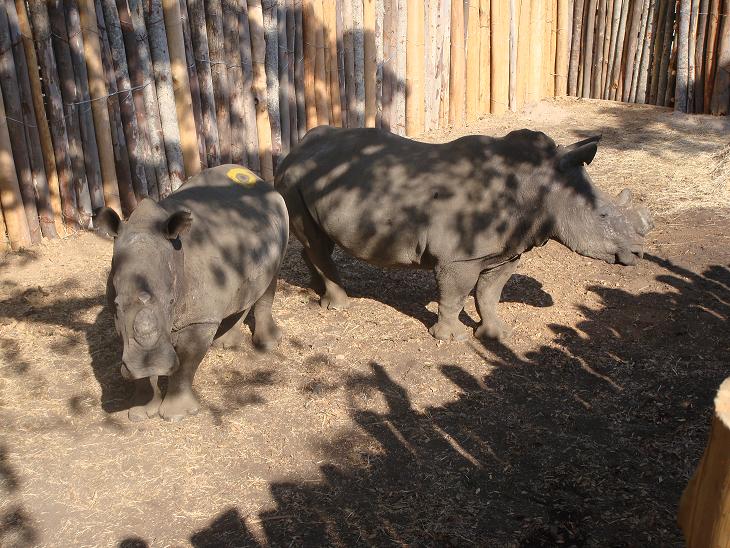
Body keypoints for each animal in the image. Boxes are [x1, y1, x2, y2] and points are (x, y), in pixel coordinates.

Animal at [96, 165, 288, 421]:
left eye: (171, 301)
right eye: (117, 305)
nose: (151, 365)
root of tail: (256, 177)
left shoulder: (200, 319)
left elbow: (187, 362)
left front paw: (177, 415)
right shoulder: (117, 314)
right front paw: (140, 411)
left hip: (281, 214)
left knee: (270, 280)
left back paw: (267, 345)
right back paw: (225, 344)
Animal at [275, 126, 653, 342]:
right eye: (602, 215)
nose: (638, 253)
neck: (542, 186)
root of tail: (297, 146)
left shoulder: (507, 250)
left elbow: (489, 294)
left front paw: (496, 335)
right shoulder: (460, 256)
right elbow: (455, 297)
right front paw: (450, 339)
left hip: (319, 178)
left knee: (317, 241)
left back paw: (318, 291)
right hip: (293, 178)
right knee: (315, 241)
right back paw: (339, 305)